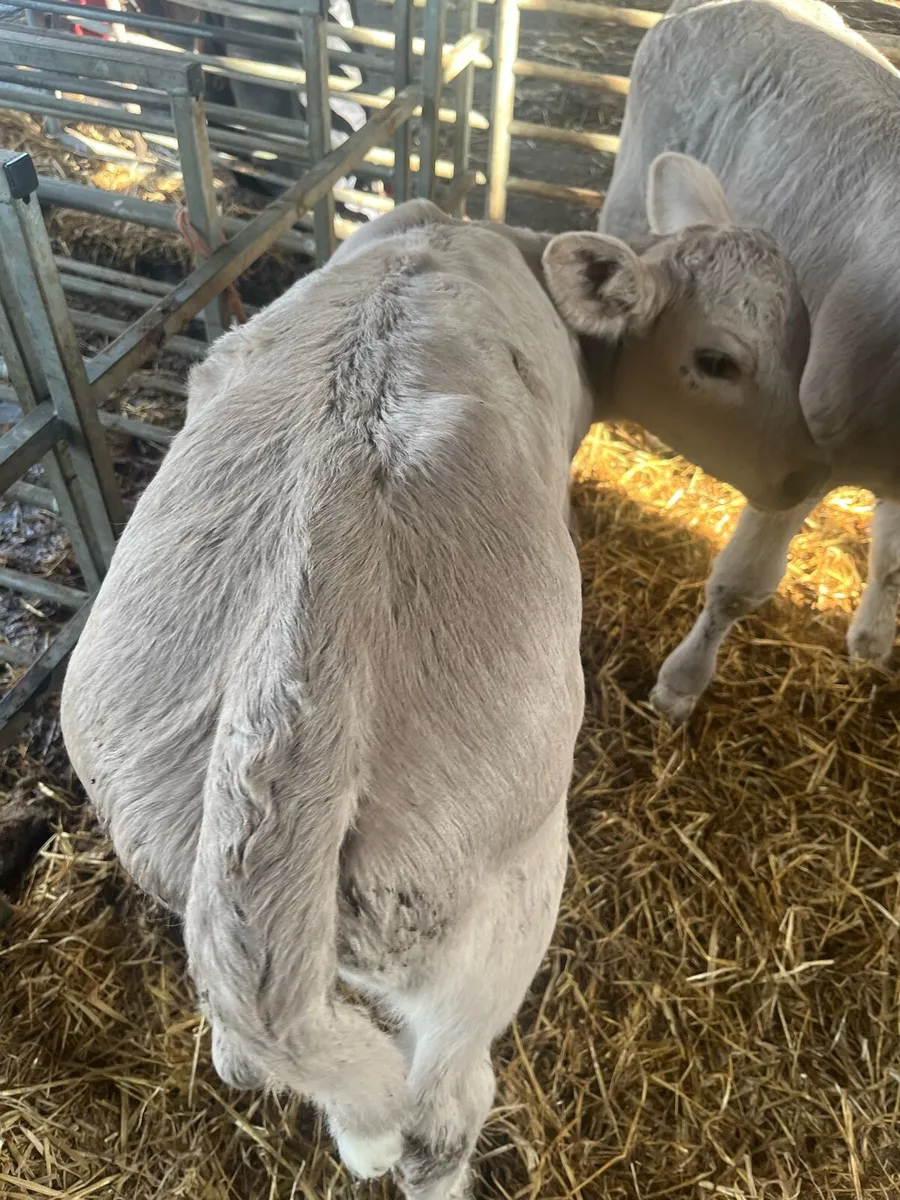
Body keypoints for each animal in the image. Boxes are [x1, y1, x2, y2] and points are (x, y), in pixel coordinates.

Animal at [60, 165, 813, 1198]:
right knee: (443, 1116)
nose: (805, 474)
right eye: (717, 359)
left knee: (256, 1051)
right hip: (499, 901)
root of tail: (287, 688)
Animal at [594, 0, 900, 723]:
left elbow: (891, 559)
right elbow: (742, 584)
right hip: (632, 197)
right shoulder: (807, 451)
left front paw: (872, 639)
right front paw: (682, 685)